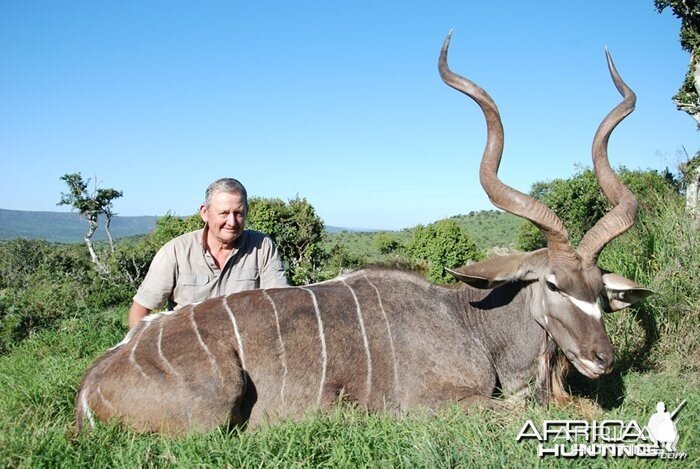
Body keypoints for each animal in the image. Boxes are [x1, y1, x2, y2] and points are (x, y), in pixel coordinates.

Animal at [75, 33, 652, 436]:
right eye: (553, 284)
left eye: (599, 291)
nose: (601, 358)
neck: (471, 322)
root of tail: (90, 385)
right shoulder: (437, 404)